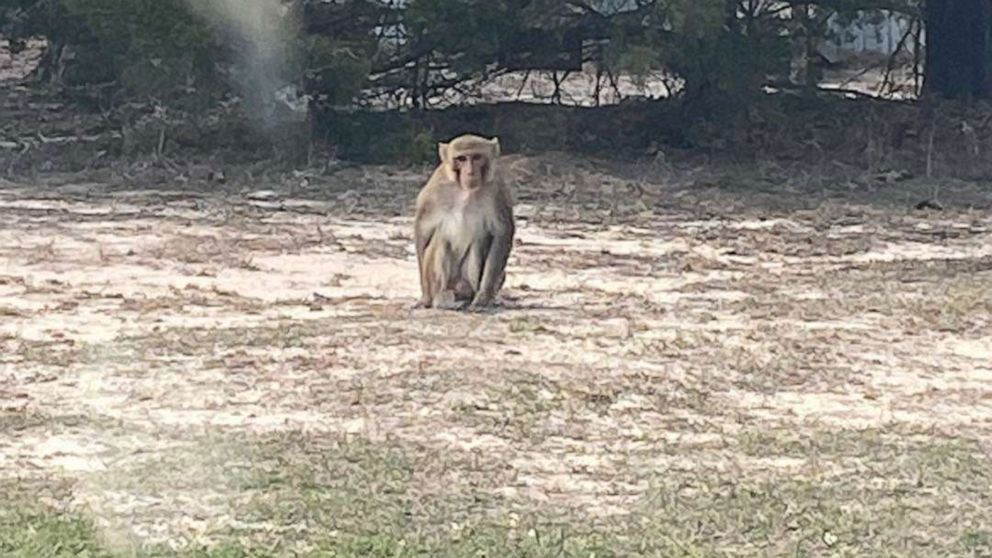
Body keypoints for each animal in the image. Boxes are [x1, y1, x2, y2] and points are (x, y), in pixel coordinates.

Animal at [413, 134, 515, 311]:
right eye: (461, 159)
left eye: (476, 157)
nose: (470, 172)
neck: (465, 190)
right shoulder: (435, 189)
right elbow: (423, 231)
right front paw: (425, 297)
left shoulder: (496, 189)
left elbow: (502, 233)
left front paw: (483, 297)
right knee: (441, 239)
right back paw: (443, 298)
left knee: (477, 243)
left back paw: (469, 296)